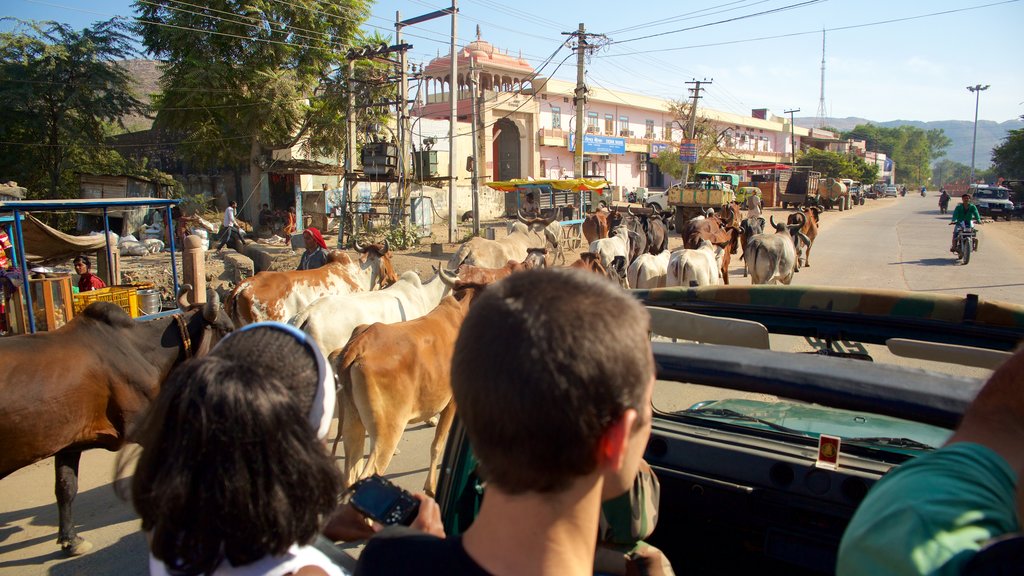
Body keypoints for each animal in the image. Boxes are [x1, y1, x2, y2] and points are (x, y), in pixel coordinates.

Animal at [0, 291, 232, 553]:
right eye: (226, 328)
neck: (140, 350)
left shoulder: (69, 442)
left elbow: (66, 487)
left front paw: (71, 540)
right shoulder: (143, 426)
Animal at [329, 270, 485, 494]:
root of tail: (359, 344)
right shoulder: (452, 403)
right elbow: (437, 444)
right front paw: (431, 487)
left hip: (353, 423)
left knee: (351, 474)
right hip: (388, 434)